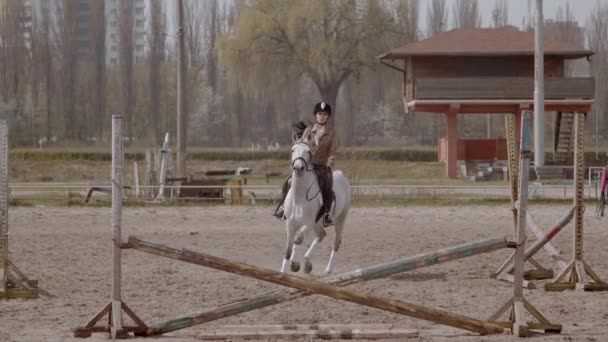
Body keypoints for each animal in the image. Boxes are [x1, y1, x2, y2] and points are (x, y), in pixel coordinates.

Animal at [280, 135, 352, 274]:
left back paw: (328, 269)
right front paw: (283, 271)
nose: (298, 168)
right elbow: (288, 249)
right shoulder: (290, 223)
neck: (299, 198)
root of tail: (342, 175)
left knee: (336, 241)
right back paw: (307, 263)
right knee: (321, 235)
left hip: (340, 218)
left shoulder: (308, 223)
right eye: (292, 150)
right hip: (317, 223)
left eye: (309, 152)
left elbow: (298, 240)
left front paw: (295, 264)